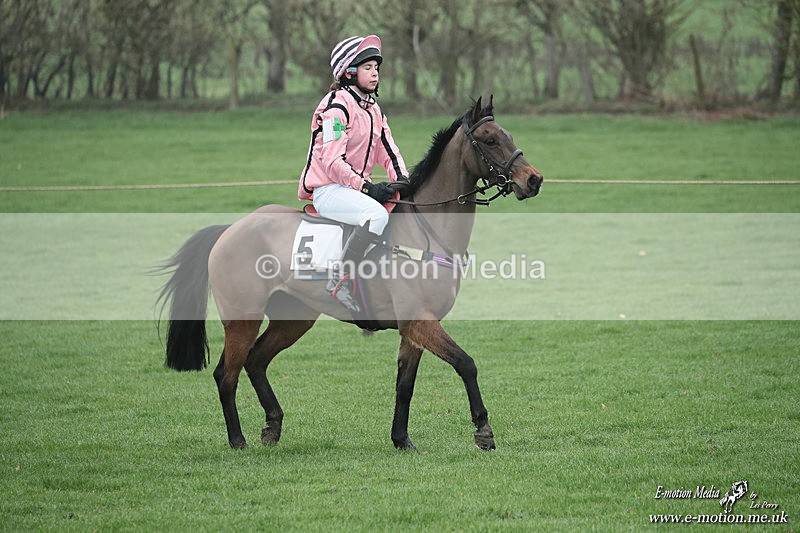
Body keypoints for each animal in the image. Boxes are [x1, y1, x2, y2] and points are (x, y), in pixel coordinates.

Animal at [157, 96, 543, 451]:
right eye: (490, 140)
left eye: (508, 135)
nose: (534, 180)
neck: (426, 232)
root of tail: (230, 229)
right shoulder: (420, 320)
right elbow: (466, 363)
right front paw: (483, 430)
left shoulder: (413, 328)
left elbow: (405, 385)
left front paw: (401, 439)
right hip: (242, 320)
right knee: (227, 374)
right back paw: (238, 441)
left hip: (294, 318)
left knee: (255, 362)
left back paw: (273, 426)